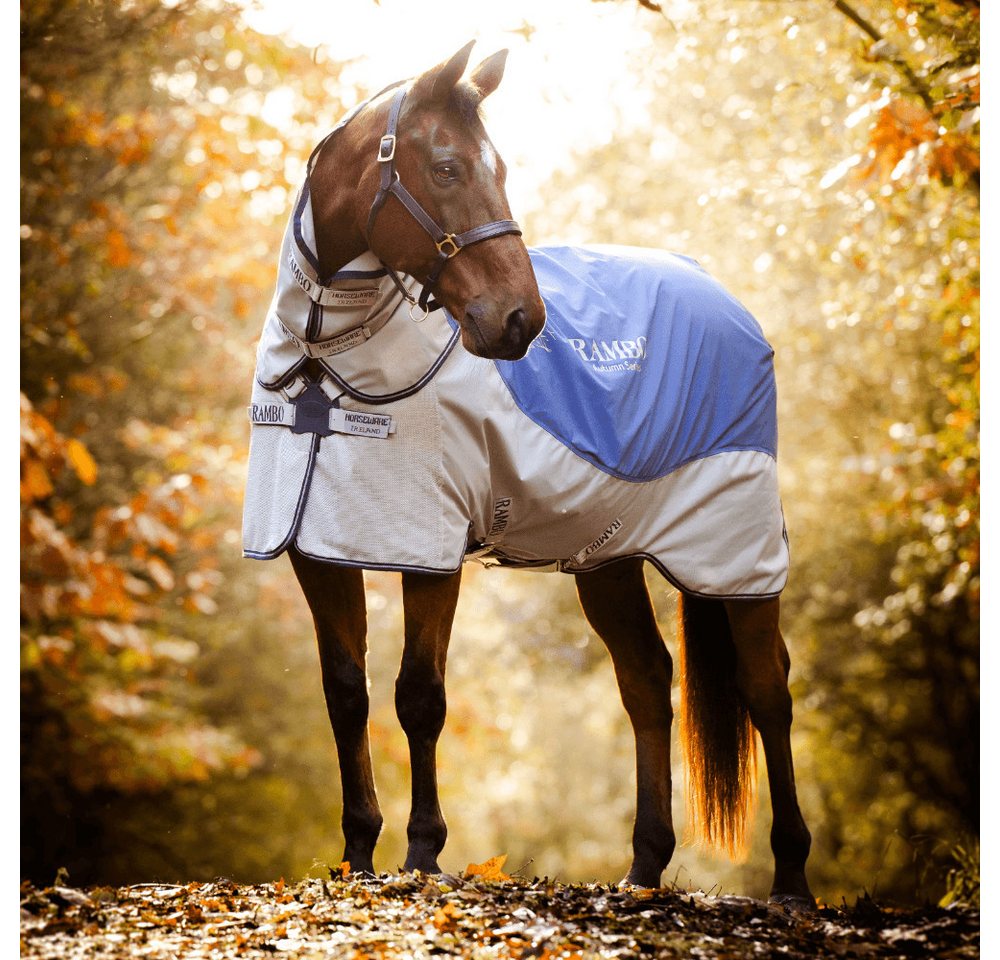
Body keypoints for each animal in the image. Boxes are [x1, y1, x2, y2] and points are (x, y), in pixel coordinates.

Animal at [243, 41, 814, 909]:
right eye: (445, 167)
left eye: (499, 168)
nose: (521, 321)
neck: (326, 360)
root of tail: (725, 301)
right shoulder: (318, 547)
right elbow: (347, 691)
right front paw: (359, 853)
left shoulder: (430, 551)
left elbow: (419, 695)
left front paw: (423, 851)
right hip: (609, 558)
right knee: (646, 681)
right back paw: (642, 868)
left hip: (735, 552)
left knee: (765, 690)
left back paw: (791, 878)